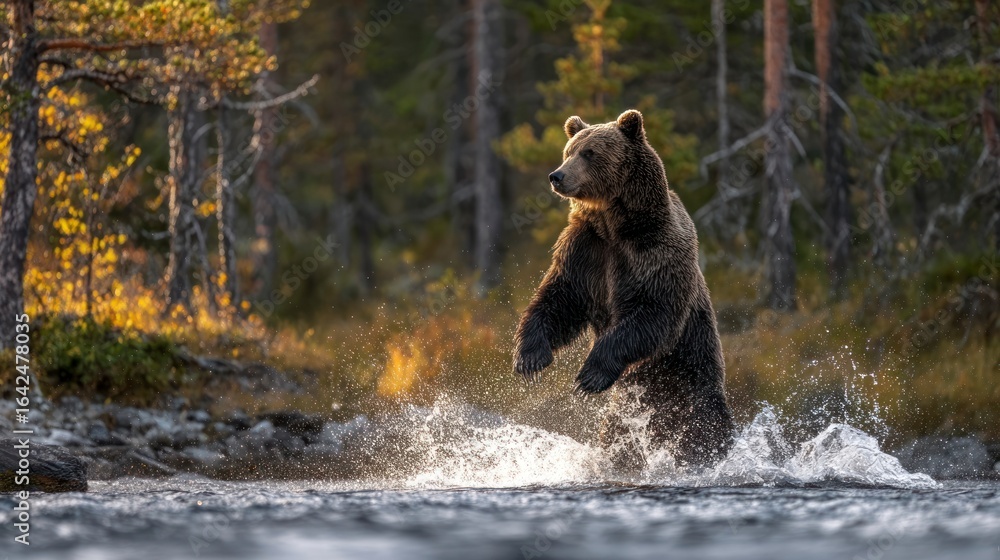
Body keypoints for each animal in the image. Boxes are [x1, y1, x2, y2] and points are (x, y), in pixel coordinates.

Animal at [512, 109, 734, 469]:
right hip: (624, 417)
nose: (557, 176)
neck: (613, 224)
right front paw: (530, 358)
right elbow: (560, 298)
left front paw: (588, 375)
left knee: (704, 432)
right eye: (569, 150)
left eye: (589, 153)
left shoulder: (656, 253)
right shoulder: (585, 252)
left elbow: (653, 315)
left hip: (693, 390)